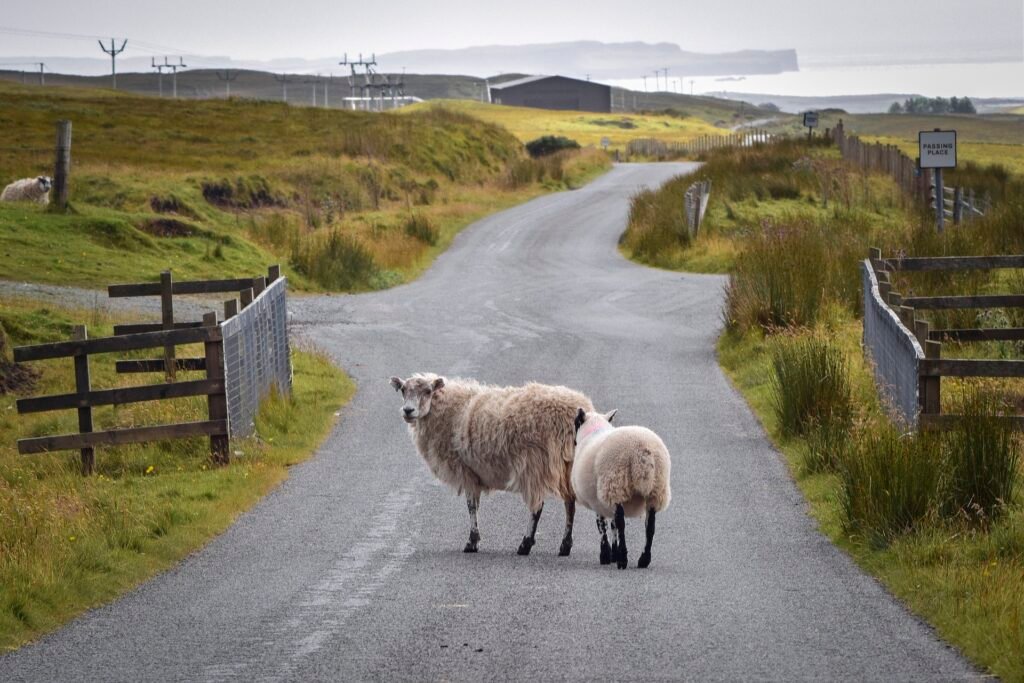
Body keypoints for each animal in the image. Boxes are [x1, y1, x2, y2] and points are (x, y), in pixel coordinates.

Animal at [387, 374, 598, 557]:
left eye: (428, 391)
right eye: (403, 390)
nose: (408, 411)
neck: (450, 409)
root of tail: (576, 409)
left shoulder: (466, 471)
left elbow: (471, 506)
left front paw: (472, 542)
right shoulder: (474, 473)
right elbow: (475, 505)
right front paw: (474, 540)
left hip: (535, 463)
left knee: (537, 507)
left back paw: (525, 544)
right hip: (568, 465)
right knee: (570, 504)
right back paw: (565, 546)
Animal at [569, 409, 671, 569]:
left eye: (575, 422)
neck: (595, 429)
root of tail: (642, 450)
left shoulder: (599, 498)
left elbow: (602, 525)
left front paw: (606, 555)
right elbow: (612, 525)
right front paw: (613, 554)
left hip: (616, 484)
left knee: (621, 522)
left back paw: (623, 559)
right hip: (656, 490)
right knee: (650, 526)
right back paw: (643, 559)